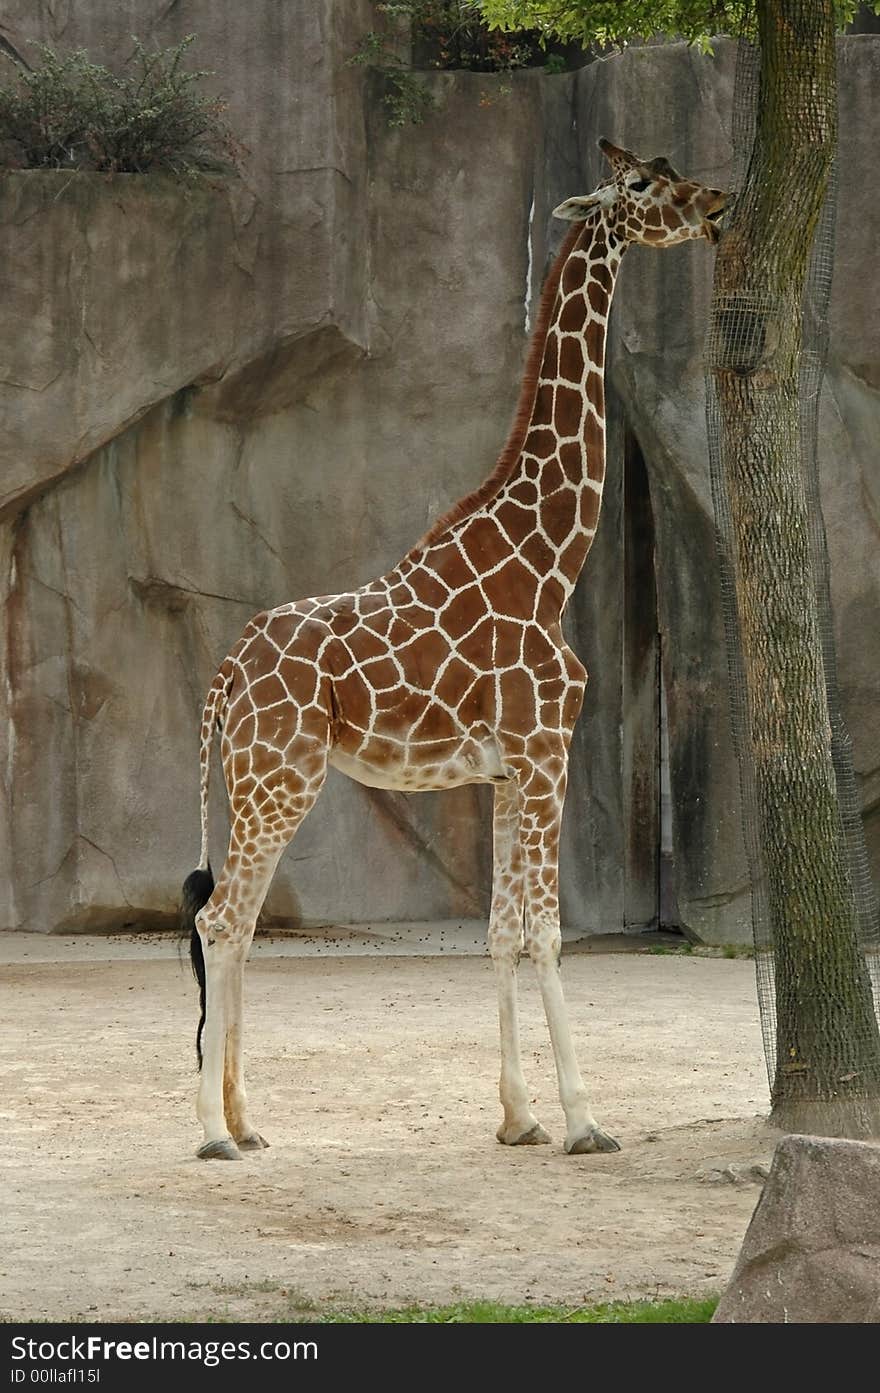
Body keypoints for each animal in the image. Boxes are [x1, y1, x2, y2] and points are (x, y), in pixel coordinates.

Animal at [178, 135, 724, 1158]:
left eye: (674, 173)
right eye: (641, 184)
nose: (717, 203)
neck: (548, 562)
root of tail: (226, 672)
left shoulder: (509, 768)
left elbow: (502, 931)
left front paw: (518, 1117)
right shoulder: (547, 751)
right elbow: (546, 931)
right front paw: (585, 1120)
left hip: (253, 780)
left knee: (237, 921)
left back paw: (246, 1120)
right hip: (281, 778)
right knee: (223, 916)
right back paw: (212, 1131)